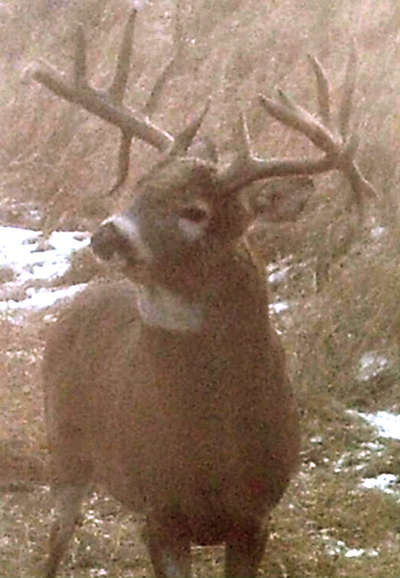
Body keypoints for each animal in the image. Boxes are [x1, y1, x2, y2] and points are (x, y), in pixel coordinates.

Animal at [30, 5, 376, 576]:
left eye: (195, 210)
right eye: (139, 187)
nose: (107, 234)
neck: (211, 449)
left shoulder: (256, 516)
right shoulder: (159, 513)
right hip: (65, 443)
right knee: (55, 542)